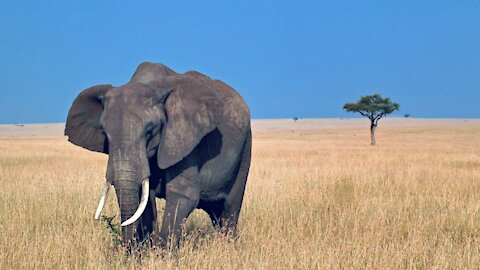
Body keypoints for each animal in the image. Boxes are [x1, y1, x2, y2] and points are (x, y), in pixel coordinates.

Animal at [64, 61, 251, 247]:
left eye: (150, 130)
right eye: (104, 132)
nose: (126, 248)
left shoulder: (183, 137)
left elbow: (183, 194)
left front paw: (161, 252)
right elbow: (144, 199)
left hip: (245, 147)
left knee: (229, 208)